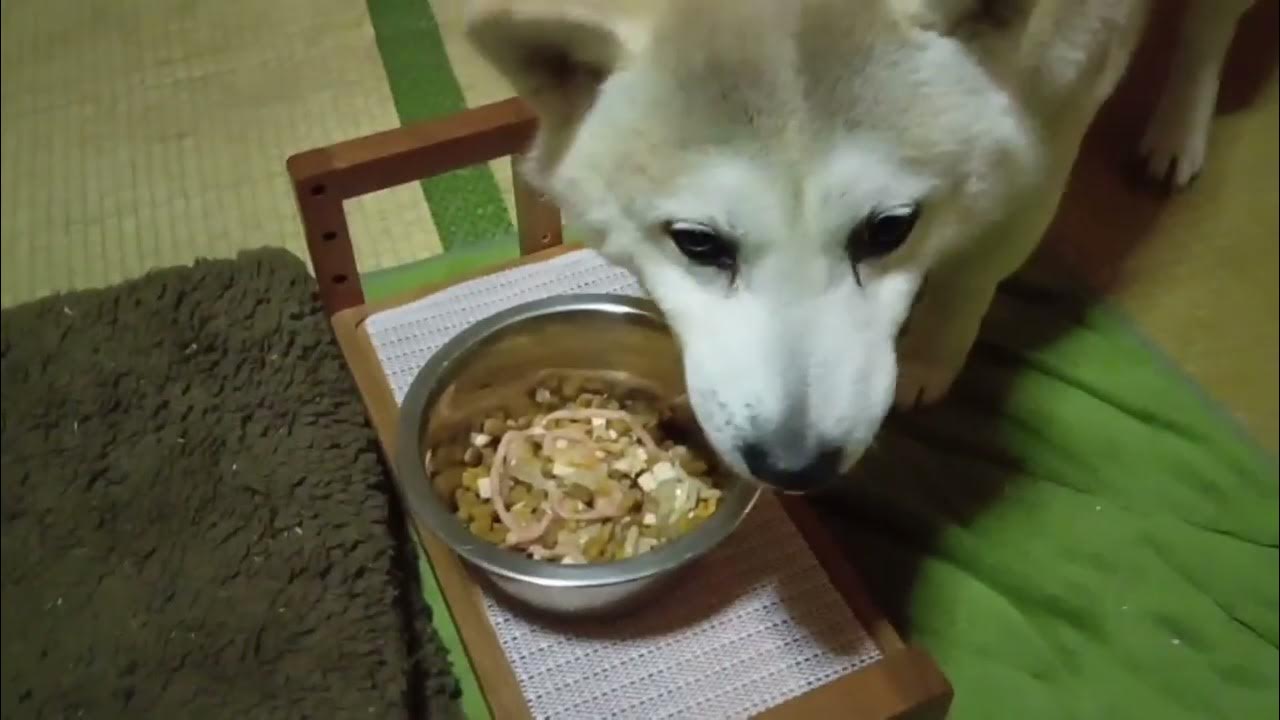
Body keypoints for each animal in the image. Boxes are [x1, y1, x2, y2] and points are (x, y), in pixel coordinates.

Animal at [465, 0, 1254, 489]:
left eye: (889, 229)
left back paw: (1179, 129)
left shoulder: (1060, 104)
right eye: (697, 242)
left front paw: (933, 353)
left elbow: (979, 261)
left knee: (1211, 28)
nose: (794, 466)